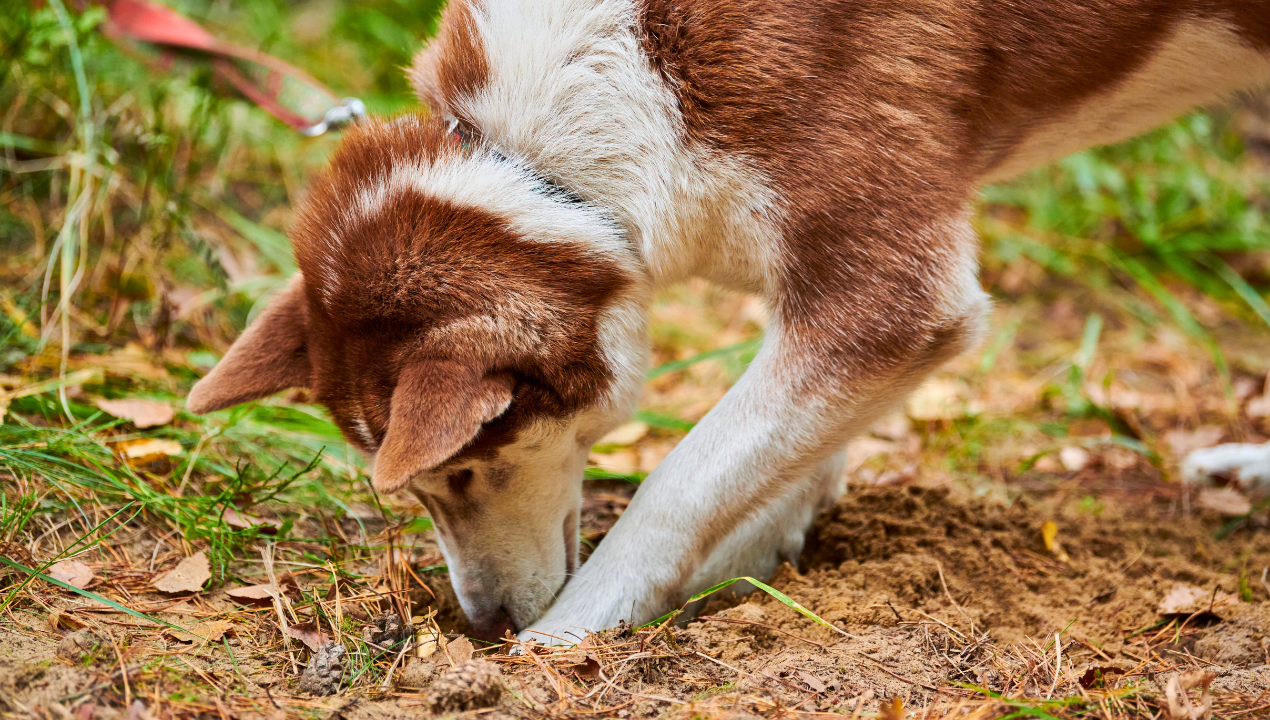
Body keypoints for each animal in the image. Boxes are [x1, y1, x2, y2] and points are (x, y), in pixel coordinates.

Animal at [185, 0, 1270, 642]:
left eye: (464, 470)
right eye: (426, 490)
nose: (483, 625)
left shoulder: (891, 294)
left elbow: (681, 481)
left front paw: (566, 639)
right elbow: (784, 454)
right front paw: (759, 554)